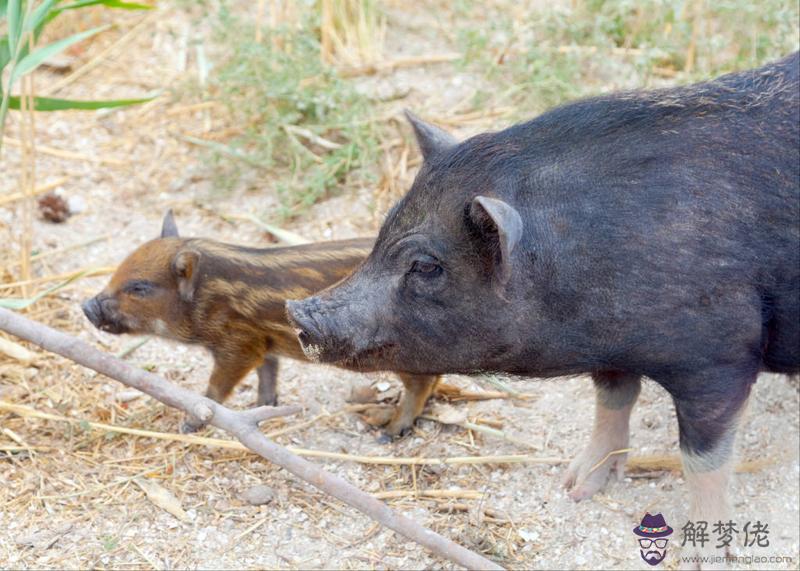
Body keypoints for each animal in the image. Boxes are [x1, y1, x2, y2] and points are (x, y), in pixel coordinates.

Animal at [290, 52, 800, 556]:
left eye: (427, 266)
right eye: (381, 234)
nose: (298, 313)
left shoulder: (721, 357)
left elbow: (702, 459)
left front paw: (707, 550)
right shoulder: (611, 354)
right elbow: (612, 401)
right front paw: (574, 487)